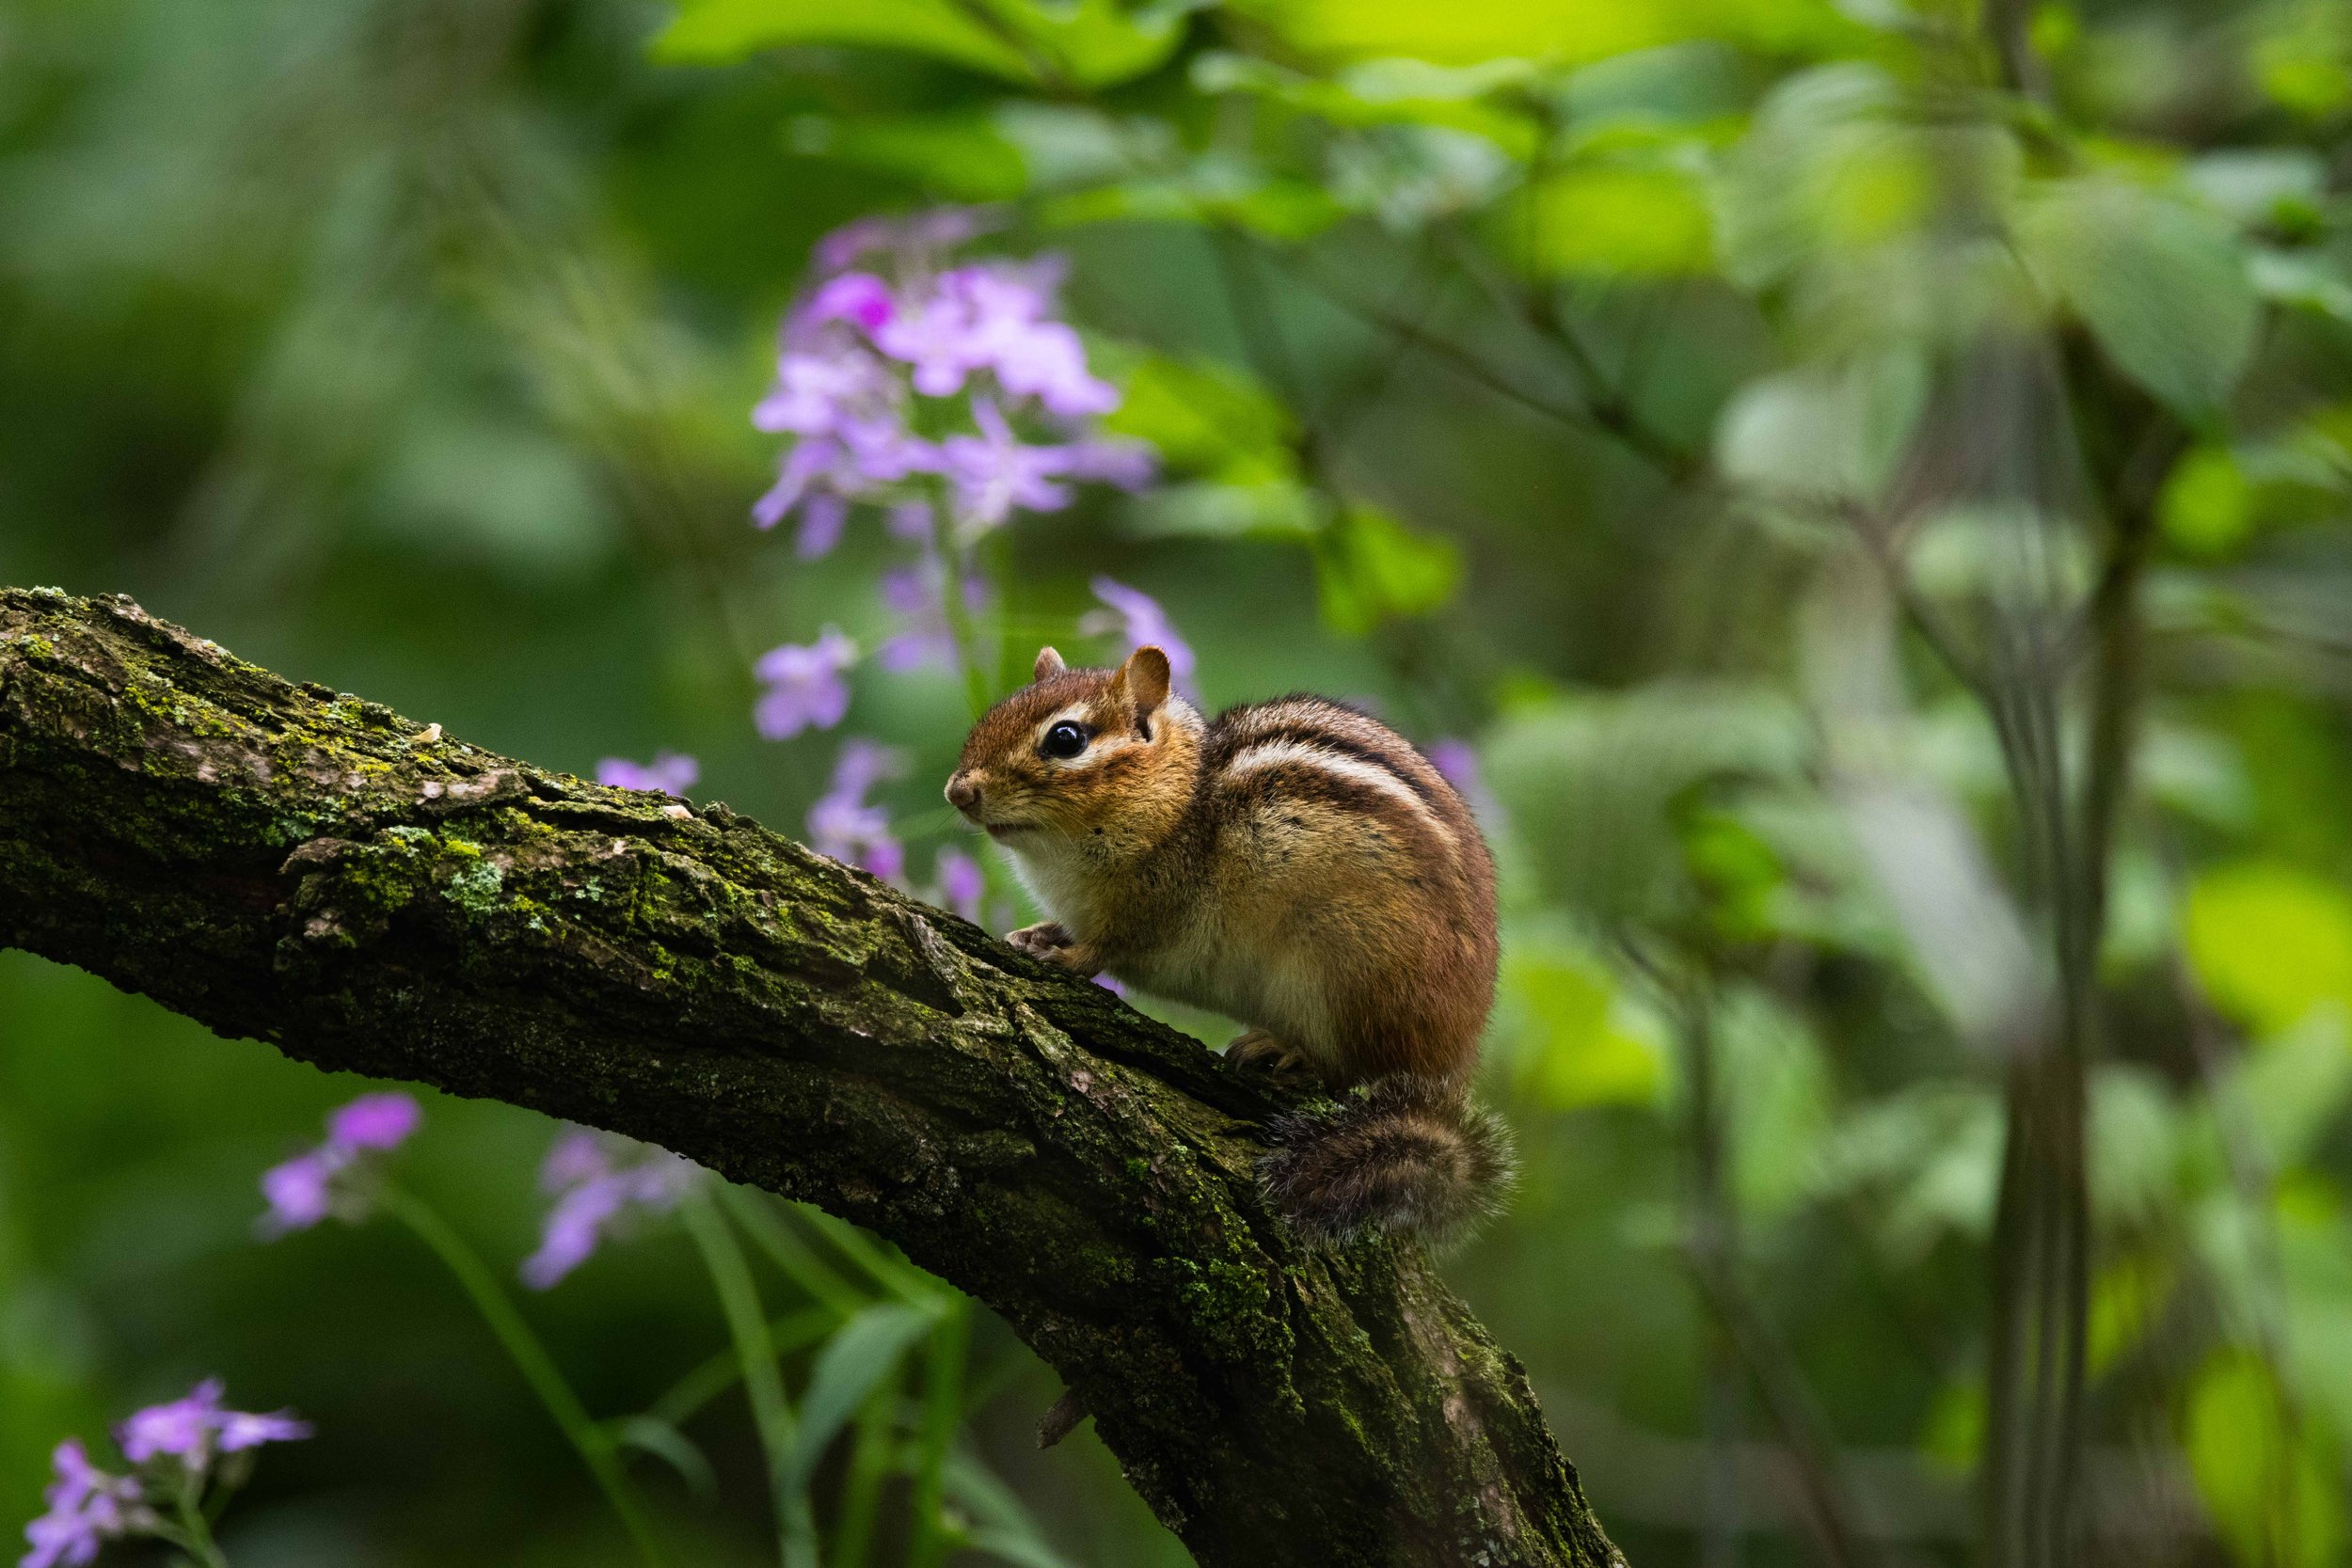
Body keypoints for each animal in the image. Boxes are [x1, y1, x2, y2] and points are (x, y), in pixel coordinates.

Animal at [945, 643, 1511, 1244]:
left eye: (1066, 738)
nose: (958, 790)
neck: (1181, 798)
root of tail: (1452, 1062)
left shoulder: (1154, 904)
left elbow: (1107, 948)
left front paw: (1064, 956)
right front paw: (1039, 933)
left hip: (1342, 975)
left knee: (1349, 1074)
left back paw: (1284, 1052)